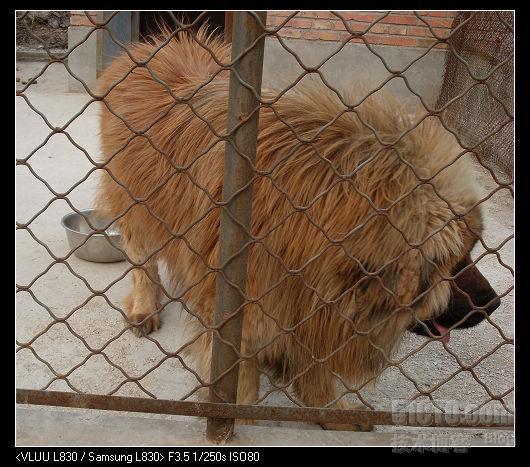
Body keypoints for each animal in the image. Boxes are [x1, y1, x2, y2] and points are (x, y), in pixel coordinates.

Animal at [96, 27, 500, 426]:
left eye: (472, 250)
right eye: (451, 260)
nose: (494, 303)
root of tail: (153, 47)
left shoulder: (310, 304)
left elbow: (316, 366)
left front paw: (332, 410)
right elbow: (241, 384)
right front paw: (239, 420)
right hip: (135, 205)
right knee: (143, 262)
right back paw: (145, 308)